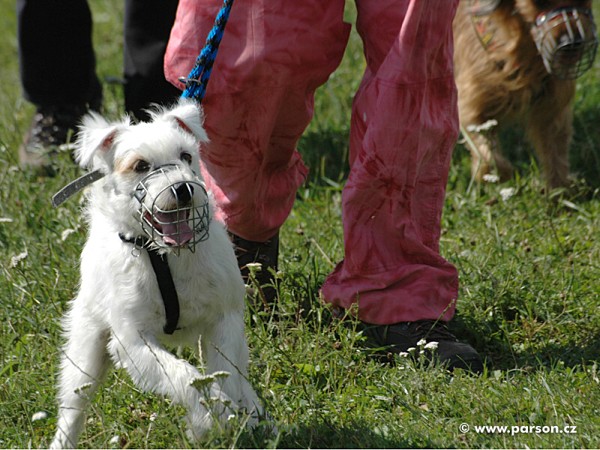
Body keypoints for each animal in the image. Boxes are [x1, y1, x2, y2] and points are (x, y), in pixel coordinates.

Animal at [52, 100, 264, 448]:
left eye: (186, 156)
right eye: (140, 166)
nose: (183, 189)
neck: (163, 257)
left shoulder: (224, 320)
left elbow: (226, 375)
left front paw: (226, 413)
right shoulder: (134, 342)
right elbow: (187, 379)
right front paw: (207, 419)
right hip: (85, 352)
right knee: (73, 408)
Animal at [454, 0, 596, 189]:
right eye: (539, 3)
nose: (572, 42)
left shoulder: (551, 105)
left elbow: (555, 149)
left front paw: (559, 189)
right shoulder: (472, 103)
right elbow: (487, 151)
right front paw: (496, 174)